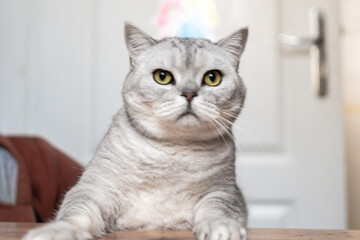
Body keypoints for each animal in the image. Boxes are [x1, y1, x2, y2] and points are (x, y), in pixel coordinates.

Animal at [22, 22, 248, 240]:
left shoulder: (224, 192)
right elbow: (76, 215)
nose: (189, 93)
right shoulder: (95, 189)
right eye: (162, 76)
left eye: (212, 78)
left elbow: (217, 211)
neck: (172, 153)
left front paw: (221, 228)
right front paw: (57, 232)